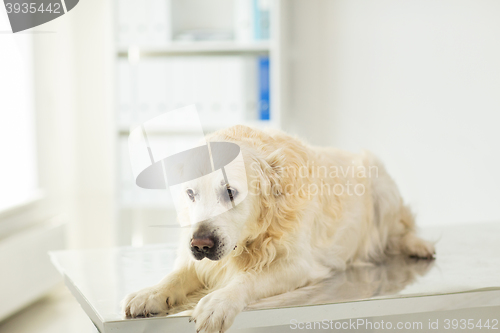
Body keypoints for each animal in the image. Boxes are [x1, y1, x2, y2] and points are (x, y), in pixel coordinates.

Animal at [122, 125, 434, 332]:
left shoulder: (298, 264)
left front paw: (218, 302)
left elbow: (248, 279)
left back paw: (418, 245)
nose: (200, 245)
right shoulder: (200, 258)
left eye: (230, 192)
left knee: (399, 230)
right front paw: (149, 293)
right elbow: (176, 275)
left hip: (382, 184)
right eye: (190, 193)